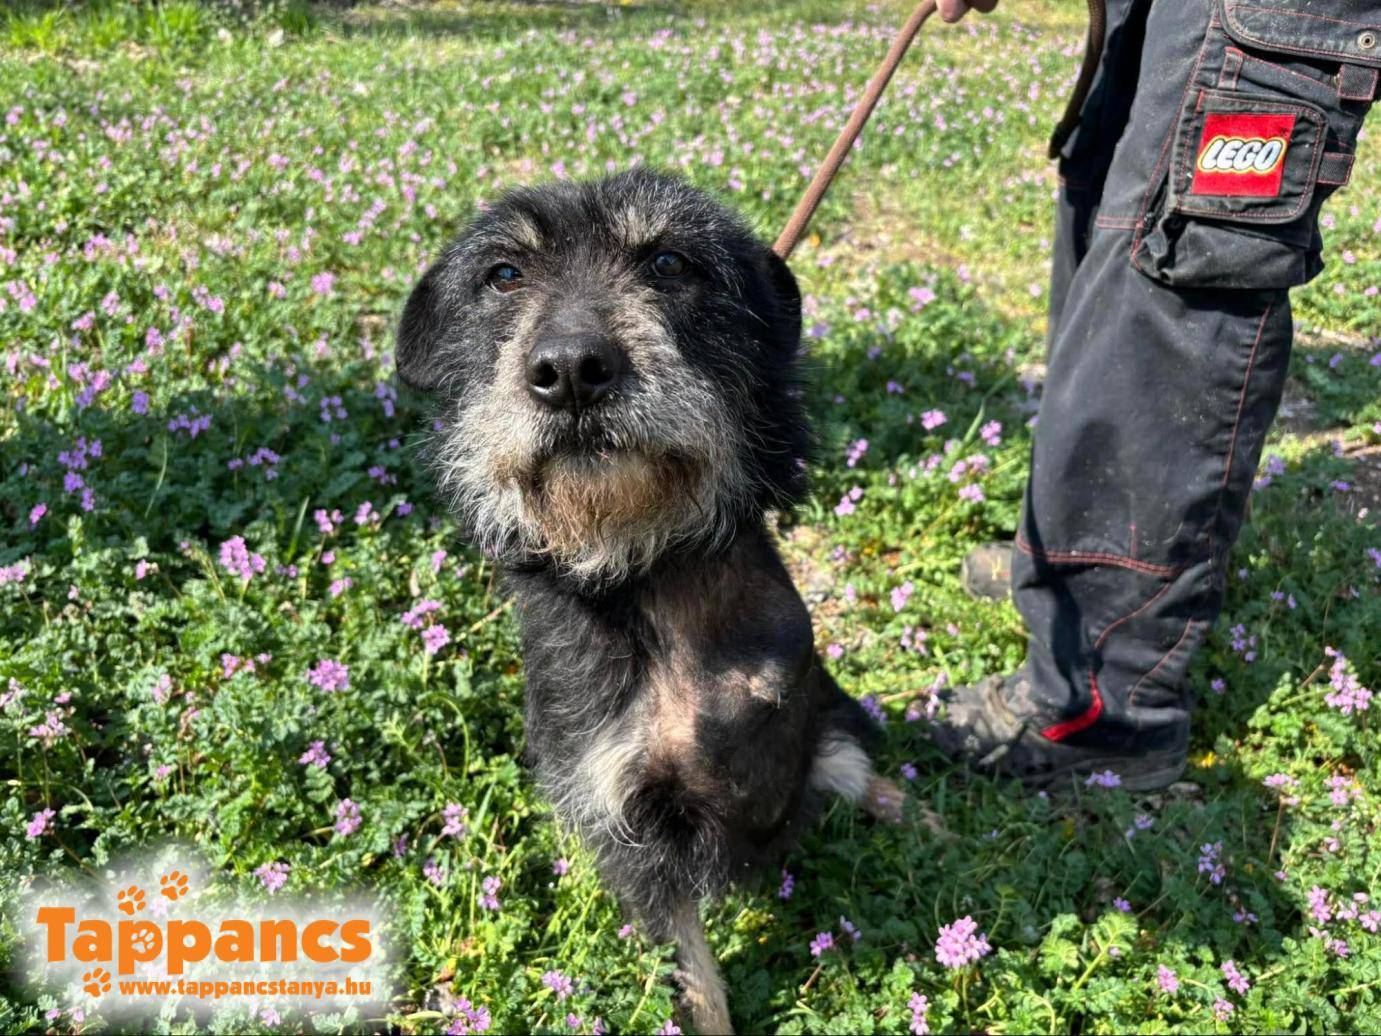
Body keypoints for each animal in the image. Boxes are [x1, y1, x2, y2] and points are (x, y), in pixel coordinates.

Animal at [396, 168, 904, 1034]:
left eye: (668, 262)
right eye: (503, 275)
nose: (570, 369)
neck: (647, 570)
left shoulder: (791, 708)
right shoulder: (625, 824)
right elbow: (694, 980)